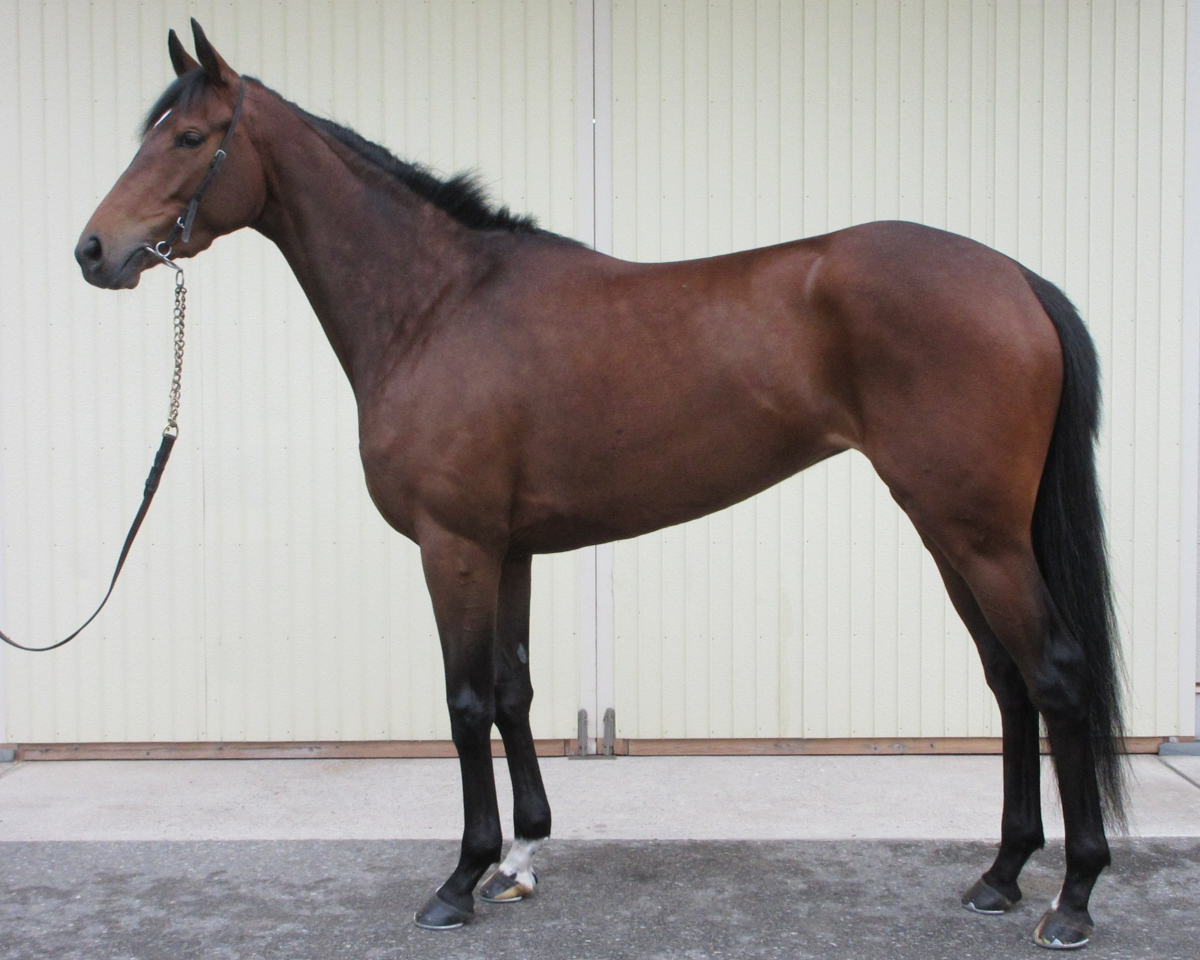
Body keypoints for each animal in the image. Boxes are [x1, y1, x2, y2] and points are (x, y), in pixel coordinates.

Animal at [75, 21, 1125, 949]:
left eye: (191, 137)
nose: (93, 251)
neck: (437, 305)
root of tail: (1016, 280)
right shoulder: (507, 550)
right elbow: (513, 691)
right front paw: (520, 858)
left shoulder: (454, 547)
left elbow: (464, 703)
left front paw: (459, 880)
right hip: (955, 532)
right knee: (1009, 683)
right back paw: (999, 875)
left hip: (979, 534)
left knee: (1056, 675)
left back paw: (1071, 899)